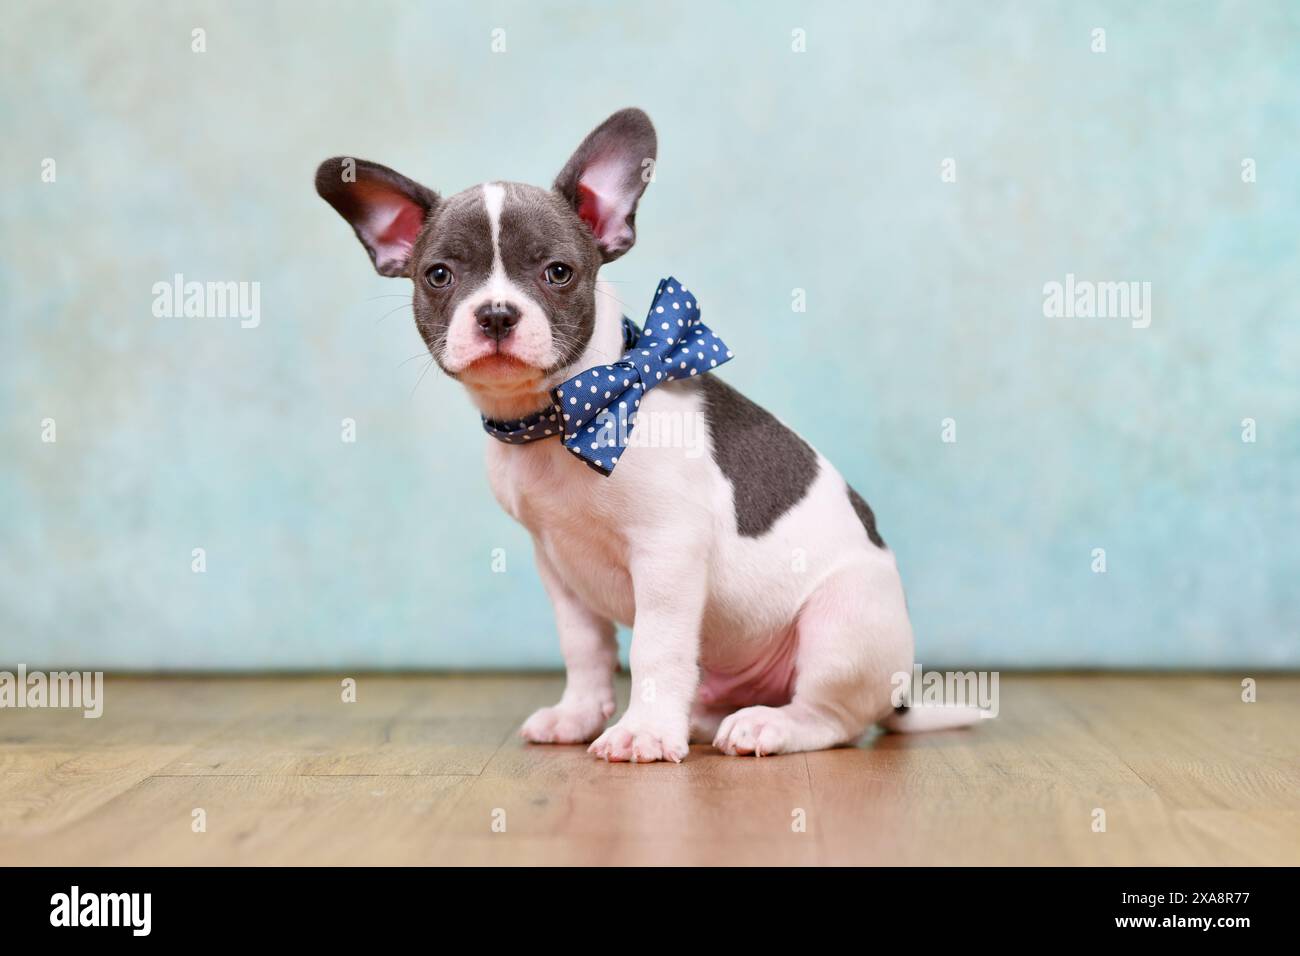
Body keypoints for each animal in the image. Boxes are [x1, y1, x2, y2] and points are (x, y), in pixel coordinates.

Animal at [317, 106, 977, 764]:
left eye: (558, 273)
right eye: (438, 276)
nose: (497, 312)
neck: (564, 416)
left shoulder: (667, 553)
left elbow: (655, 649)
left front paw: (644, 731)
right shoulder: (558, 566)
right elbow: (585, 648)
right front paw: (580, 714)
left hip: (841, 624)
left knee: (832, 717)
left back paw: (769, 725)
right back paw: (701, 720)